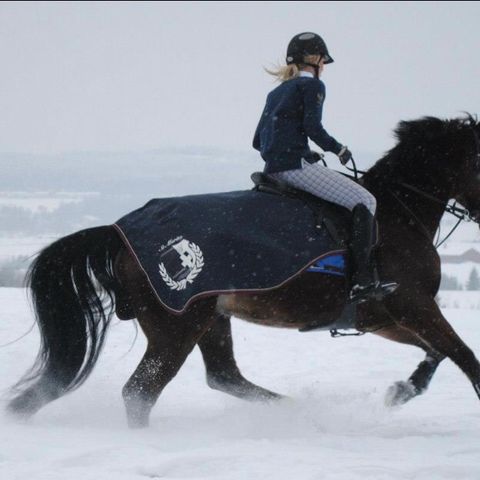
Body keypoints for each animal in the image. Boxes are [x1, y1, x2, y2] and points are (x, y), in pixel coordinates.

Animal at [5, 115, 480, 428]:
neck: (399, 216)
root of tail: (120, 233)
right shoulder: (413, 305)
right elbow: (464, 356)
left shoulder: (386, 317)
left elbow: (437, 353)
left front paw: (400, 390)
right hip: (178, 326)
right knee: (141, 391)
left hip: (210, 319)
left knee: (223, 376)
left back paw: (293, 410)